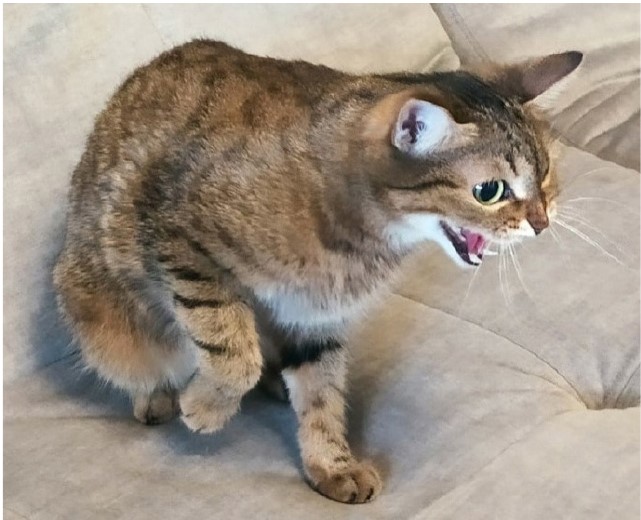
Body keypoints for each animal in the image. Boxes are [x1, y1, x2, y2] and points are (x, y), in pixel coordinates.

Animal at [53, 40, 581, 503]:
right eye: (489, 191)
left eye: (545, 173)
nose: (541, 222)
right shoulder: (180, 241)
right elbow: (232, 349)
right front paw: (206, 407)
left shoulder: (315, 319)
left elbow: (321, 394)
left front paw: (332, 465)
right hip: (102, 316)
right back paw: (158, 396)